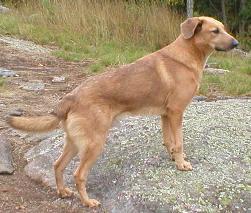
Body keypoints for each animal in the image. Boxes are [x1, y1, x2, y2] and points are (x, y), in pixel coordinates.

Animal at [7, 17, 238, 208]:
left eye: (224, 29)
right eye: (215, 31)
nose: (236, 44)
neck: (187, 55)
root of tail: (70, 97)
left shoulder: (165, 115)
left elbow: (169, 142)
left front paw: (173, 158)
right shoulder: (176, 112)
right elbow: (179, 143)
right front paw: (182, 164)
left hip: (74, 142)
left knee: (57, 165)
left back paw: (63, 192)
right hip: (94, 144)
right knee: (78, 174)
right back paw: (88, 202)